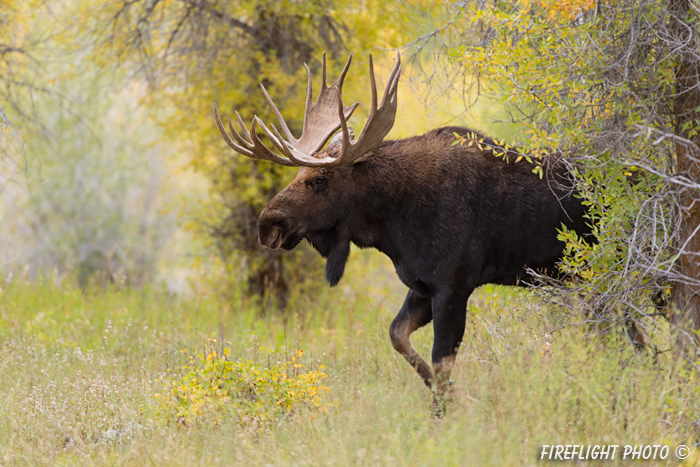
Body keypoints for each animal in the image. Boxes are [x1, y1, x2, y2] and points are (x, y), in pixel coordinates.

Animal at [212, 54, 592, 410]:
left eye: (320, 180)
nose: (267, 224)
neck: (393, 225)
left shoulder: (453, 285)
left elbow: (441, 361)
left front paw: (447, 410)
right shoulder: (422, 285)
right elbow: (399, 336)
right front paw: (454, 397)